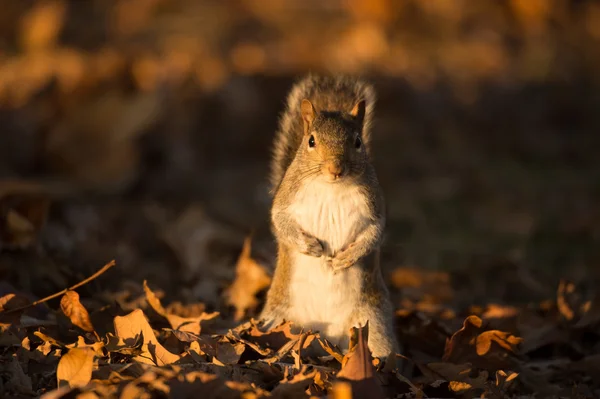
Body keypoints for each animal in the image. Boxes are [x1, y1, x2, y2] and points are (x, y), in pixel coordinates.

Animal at [260, 73, 400, 360]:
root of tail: (328, 338)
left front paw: (346, 259)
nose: (335, 168)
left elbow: (375, 234)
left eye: (358, 142)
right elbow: (280, 222)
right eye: (311, 141)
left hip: (373, 321)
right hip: (278, 317)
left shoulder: (375, 206)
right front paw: (311, 246)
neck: (331, 186)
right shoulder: (286, 198)